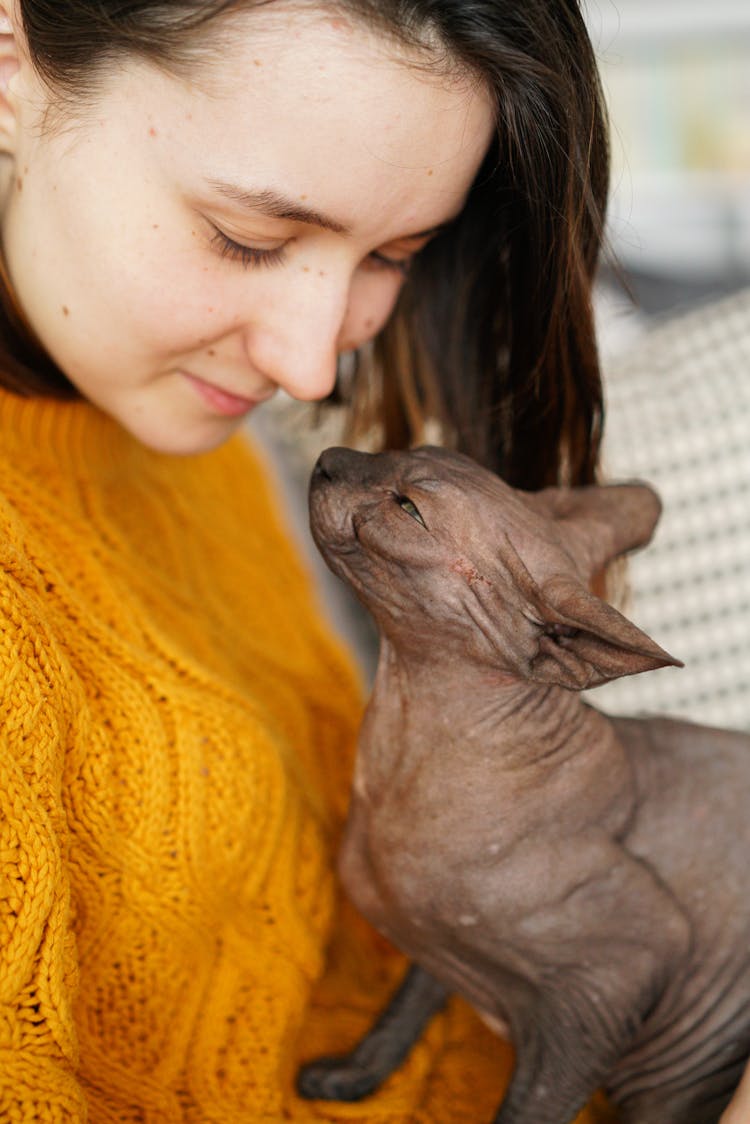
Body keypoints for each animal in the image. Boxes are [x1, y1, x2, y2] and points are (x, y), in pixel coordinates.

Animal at [296, 442, 750, 1124]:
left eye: (409, 508)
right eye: (410, 451)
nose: (328, 457)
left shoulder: (618, 973)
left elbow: (525, 1108)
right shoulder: (438, 948)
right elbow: (405, 1004)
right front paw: (351, 1075)